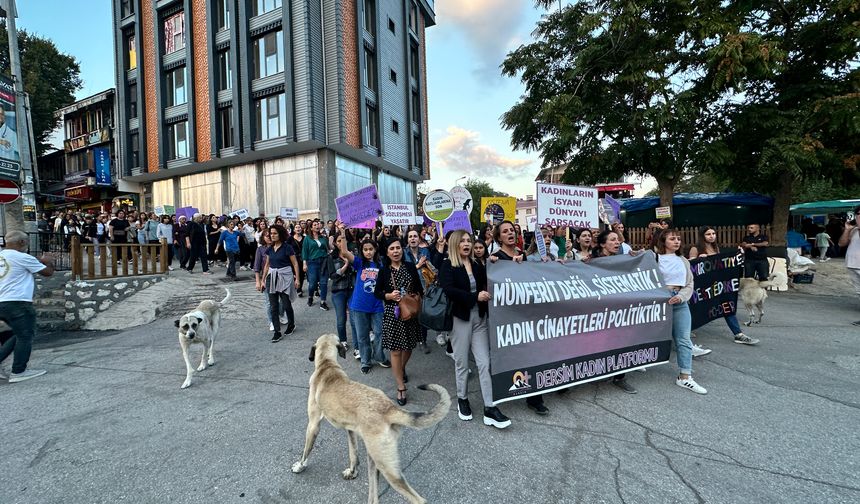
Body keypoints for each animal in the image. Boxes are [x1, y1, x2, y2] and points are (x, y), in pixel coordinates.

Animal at [292, 334, 450, 504]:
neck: (326, 365)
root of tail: (390, 408)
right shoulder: (350, 430)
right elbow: (353, 454)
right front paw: (352, 472)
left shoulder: (313, 424)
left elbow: (306, 451)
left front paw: (300, 466)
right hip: (374, 459)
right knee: (374, 497)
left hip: (386, 466)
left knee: (418, 499)